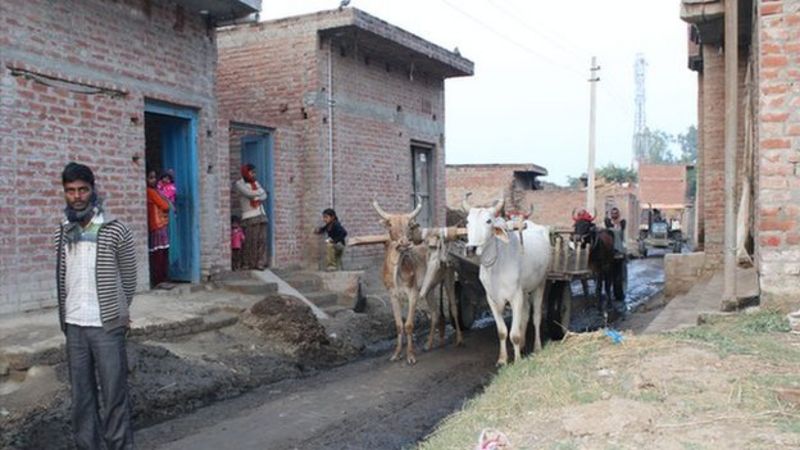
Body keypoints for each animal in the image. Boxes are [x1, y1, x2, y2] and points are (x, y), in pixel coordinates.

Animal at [374, 199, 432, 364]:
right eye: (390, 224)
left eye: (409, 225)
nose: (405, 243)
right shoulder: (392, 294)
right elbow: (399, 324)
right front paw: (396, 354)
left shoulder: (413, 291)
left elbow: (409, 324)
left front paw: (410, 356)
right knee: (435, 314)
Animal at [460, 193, 552, 366]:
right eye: (468, 221)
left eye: (488, 221)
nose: (471, 249)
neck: (495, 267)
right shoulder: (492, 299)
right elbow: (502, 331)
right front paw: (502, 359)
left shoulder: (515, 296)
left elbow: (514, 333)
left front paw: (517, 359)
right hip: (525, 290)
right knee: (526, 314)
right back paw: (522, 344)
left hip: (540, 284)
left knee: (536, 317)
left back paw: (537, 347)